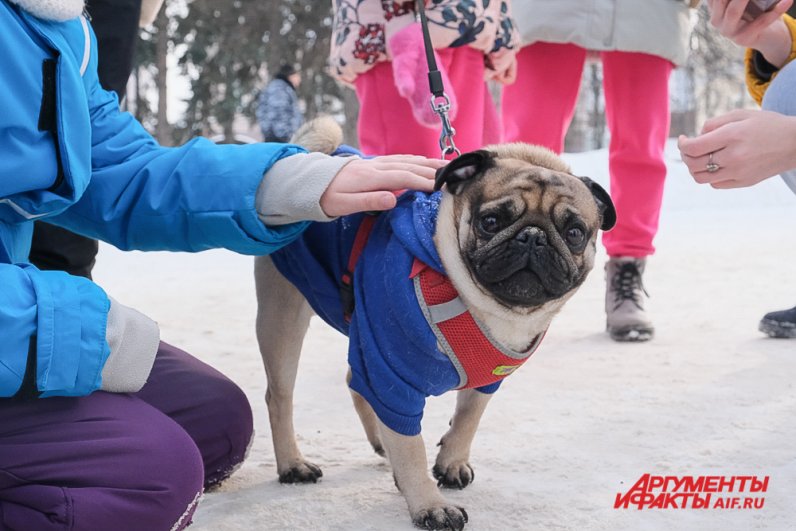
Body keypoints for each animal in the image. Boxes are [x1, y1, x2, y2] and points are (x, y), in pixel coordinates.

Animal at [255, 117, 616, 531]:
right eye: (490, 221)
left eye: (574, 233)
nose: (534, 236)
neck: (482, 306)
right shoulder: (393, 375)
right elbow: (411, 447)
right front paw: (430, 504)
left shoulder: (485, 377)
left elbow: (468, 418)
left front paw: (451, 463)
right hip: (283, 316)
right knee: (280, 396)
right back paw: (292, 465)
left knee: (355, 382)